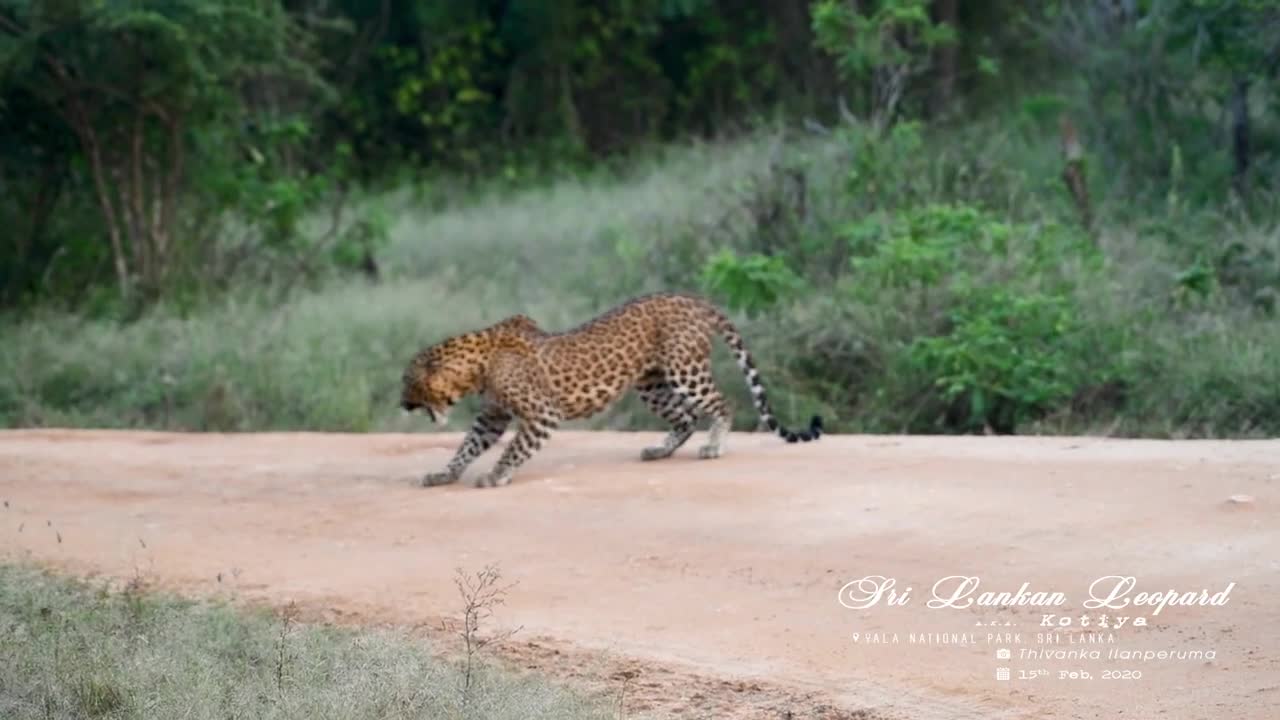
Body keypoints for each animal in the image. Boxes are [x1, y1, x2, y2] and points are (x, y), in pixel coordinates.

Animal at [399, 292, 819, 486]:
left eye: (407, 381)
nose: (401, 404)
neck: (474, 368)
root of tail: (691, 297)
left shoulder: (541, 414)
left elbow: (513, 450)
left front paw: (495, 476)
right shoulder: (492, 415)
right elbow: (466, 447)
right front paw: (444, 474)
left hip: (685, 370)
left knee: (722, 402)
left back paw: (714, 447)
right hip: (651, 383)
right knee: (684, 417)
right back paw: (659, 450)